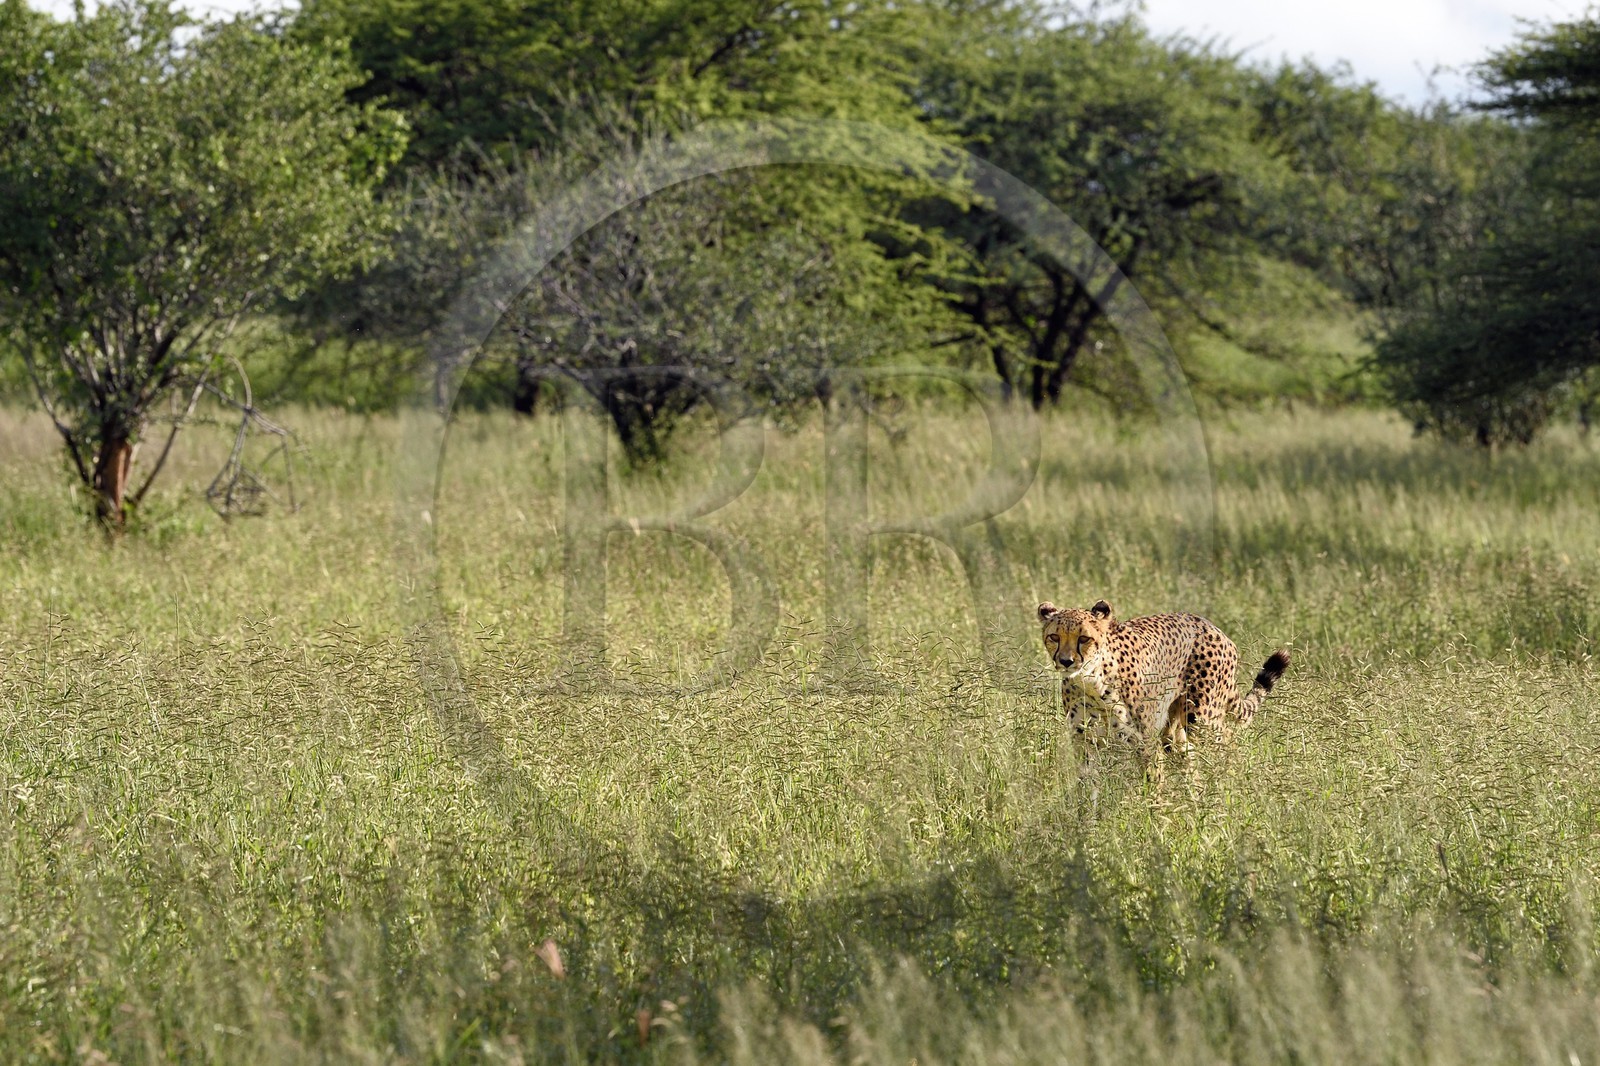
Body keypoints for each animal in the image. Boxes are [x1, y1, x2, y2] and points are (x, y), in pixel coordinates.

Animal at [1037, 599, 1290, 754]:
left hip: (1202, 717)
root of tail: (1214, 628)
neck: (1090, 680)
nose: (1066, 661)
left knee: (1227, 741)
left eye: (1084, 638)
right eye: (1054, 637)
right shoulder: (1085, 741)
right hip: (1177, 723)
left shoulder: (1145, 740)